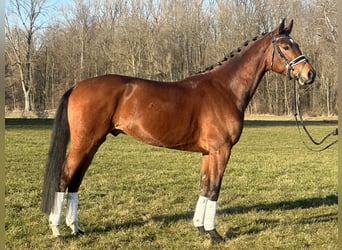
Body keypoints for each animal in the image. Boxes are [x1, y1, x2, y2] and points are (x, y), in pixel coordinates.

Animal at [42, 19, 316, 242]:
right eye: (286, 46)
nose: (310, 74)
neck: (225, 89)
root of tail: (77, 86)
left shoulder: (208, 153)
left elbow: (204, 186)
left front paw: (200, 227)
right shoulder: (221, 150)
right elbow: (214, 189)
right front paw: (214, 233)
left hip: (92, 144)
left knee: (76, 180)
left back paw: (75, 228)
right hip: (84, 143)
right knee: (64, 177)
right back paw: (57, 230)